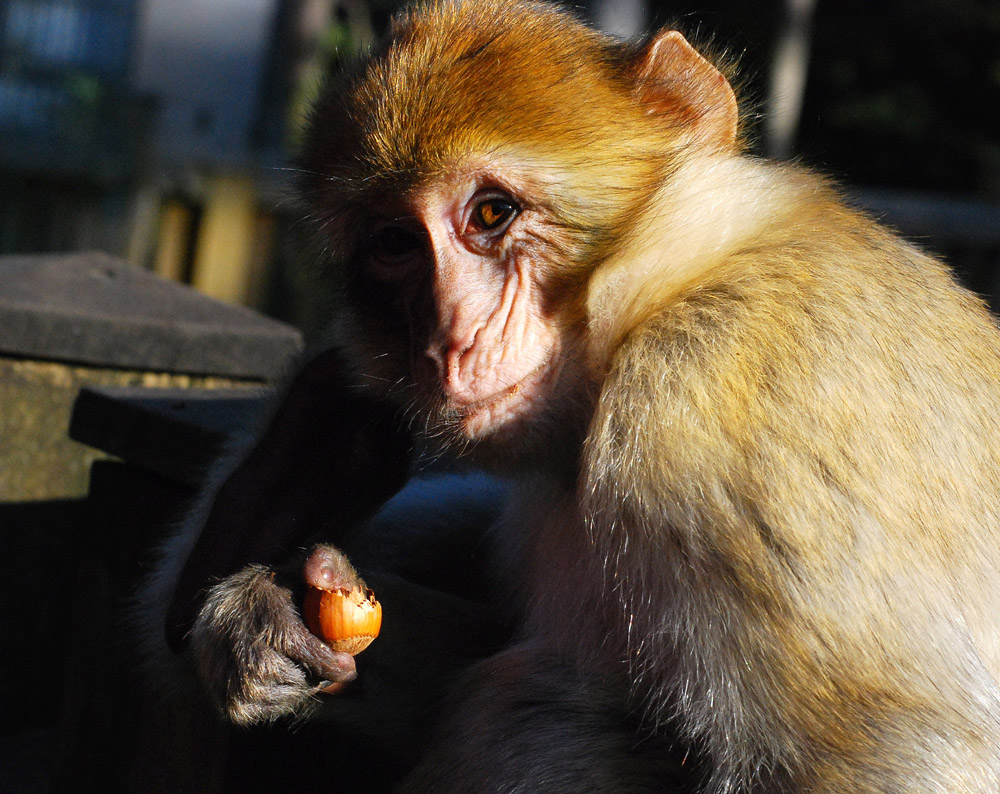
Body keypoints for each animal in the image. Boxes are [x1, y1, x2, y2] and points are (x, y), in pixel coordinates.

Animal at [143, 0, 1000, 788]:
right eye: (394, 244)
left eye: (491, 213)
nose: (448, 340)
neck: (663, 295)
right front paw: (263, 613)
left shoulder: (721, 407)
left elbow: (897, 756)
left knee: (522, 710)